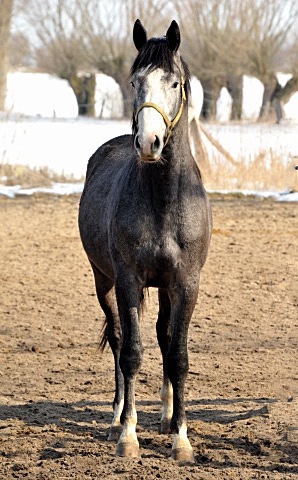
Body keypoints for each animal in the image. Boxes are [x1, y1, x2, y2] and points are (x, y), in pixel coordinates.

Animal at [78, 17, 211, 462]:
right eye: (136, 81)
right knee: (120, 340)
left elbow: (178, 355)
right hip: (104, 282)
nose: (149, 143)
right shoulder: (128, 281)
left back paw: (167, 416)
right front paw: (128, 436)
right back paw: (117, 418)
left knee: (164, 336)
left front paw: (181, 438)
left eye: (174, 82)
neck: (164, 201)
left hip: (166, 288)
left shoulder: (186, 284)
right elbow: (132, 354)